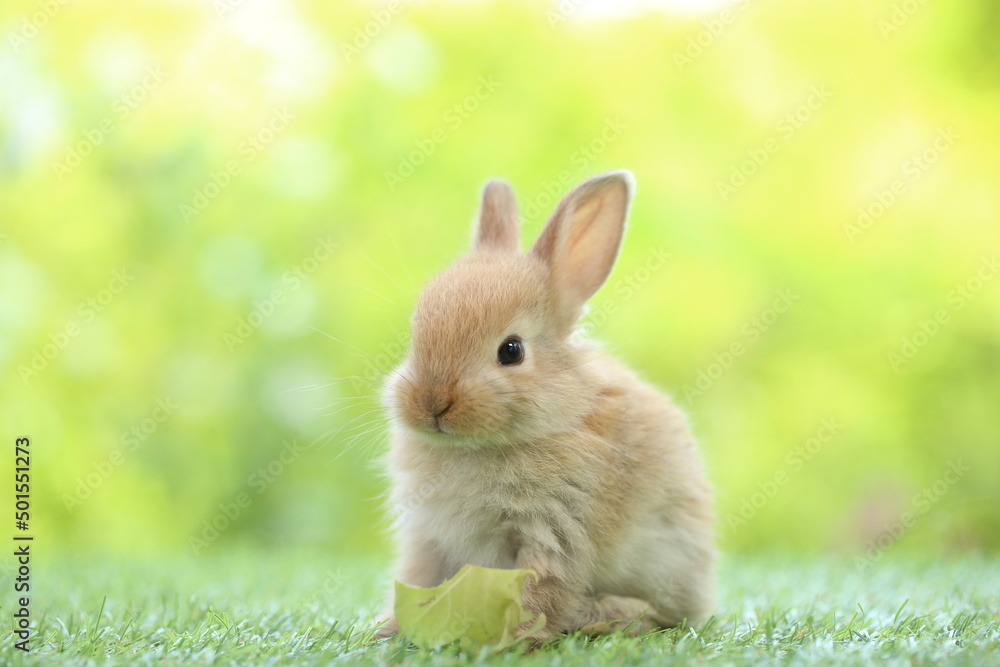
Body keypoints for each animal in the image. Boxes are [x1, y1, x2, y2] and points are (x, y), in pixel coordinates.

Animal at [374, 171, 712, 640]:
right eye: (415, 335)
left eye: (511, 350)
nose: (431, 402)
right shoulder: (429, 535)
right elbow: (418, 579)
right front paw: (389, 628)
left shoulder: (554, 531)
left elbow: (538, 589)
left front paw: (518, 639)